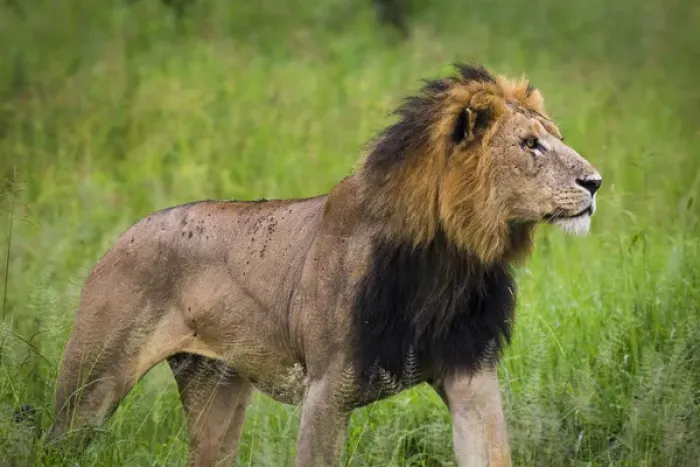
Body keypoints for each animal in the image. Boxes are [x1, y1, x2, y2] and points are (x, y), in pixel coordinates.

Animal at [49, 64, 602, 467]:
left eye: (555, 137)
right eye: (530, 144)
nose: (595, 182)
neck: (449, 261)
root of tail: (123, 235)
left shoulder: (472, 375)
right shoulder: (326, 391)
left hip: (215, 388)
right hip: (92, 386)